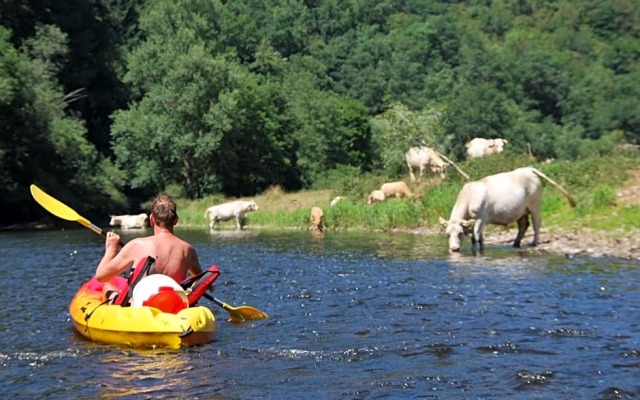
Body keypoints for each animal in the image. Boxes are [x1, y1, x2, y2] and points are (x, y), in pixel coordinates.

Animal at [440, 167, 576, 255]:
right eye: (447, 234)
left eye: (460, 233)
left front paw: (475, 251)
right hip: (522, 210)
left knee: (537, 222)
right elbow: (481, 237)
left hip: (535, 205)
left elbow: (475, 236)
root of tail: (528, 169)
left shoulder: (480, 218)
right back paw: (516, 243)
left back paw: (534, 242)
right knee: (524, 225)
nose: (454, 249)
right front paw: (481, 248)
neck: (469, 196)